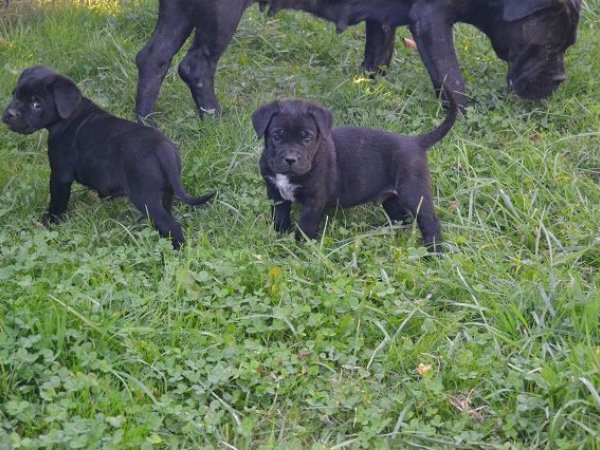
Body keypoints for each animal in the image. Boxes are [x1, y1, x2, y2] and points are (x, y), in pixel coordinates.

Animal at [2, 66, 214, 249]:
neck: (69, 114)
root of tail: (163, 149)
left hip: (145, 196)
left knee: (171, 225)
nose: (9, 114)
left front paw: (49, 224)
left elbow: (57, 204)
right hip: (165, 194)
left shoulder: (60, 175)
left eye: (36, 104)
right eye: (15, 94)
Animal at [135, 0, 580, 120]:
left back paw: (146, 121)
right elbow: (452, 81)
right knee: (196, 65)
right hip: (220, 13)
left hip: (179, 12)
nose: (560, 80)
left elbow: (377, 58)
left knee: (153, 58)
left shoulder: (383, 21)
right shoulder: (432, 21)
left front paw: (369, 94)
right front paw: (464, 122)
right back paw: (214, 118)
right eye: (550, 46)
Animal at [252, 94, 458, 253]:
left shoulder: (313, 202)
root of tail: (417, 142)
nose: (290, 159)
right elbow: (280, 217)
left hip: (414, 193)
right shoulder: (276, 195)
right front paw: (280, 238)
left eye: (307, 138)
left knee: (430, 222)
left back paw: (434, 254)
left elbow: (305, 227)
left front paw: (299, 250)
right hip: (391, 198)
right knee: (401, 218)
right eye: (277, 136)